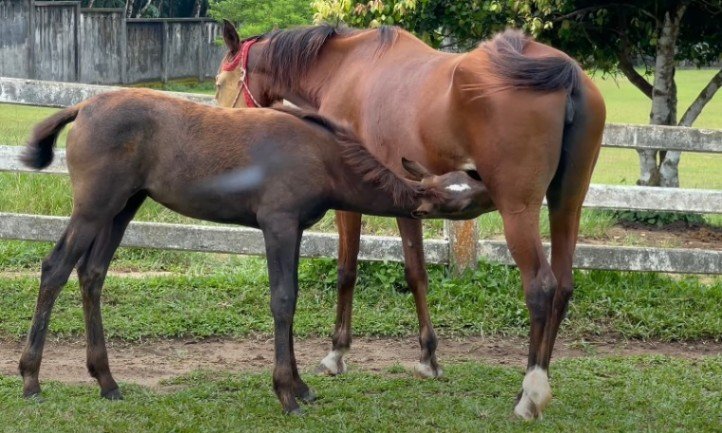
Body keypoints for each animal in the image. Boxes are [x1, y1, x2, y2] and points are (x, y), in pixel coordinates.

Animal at [17, 88, 492, 414]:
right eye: (469, 195)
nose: (500, 188)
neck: (323, 156)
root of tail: (82, 107)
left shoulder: (294, 229)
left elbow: (292, 300)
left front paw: (301, 385)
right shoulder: (277, 224)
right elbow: (282, 300)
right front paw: (287, 393)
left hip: (124, 206)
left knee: (92, 273)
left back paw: (107, 380)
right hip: (95, 206)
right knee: (56, 267)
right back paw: (31, 379)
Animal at [215, 22, 606, 419]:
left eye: (219, 81)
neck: (346, 67)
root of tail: (567, 75)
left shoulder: (357, 203)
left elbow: (351, 271)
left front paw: (337, 352)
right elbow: (417, 273)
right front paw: (428, 358)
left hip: (518, 210)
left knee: (541, 287)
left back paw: (530, 393)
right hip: (567, 204)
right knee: (563, 285)